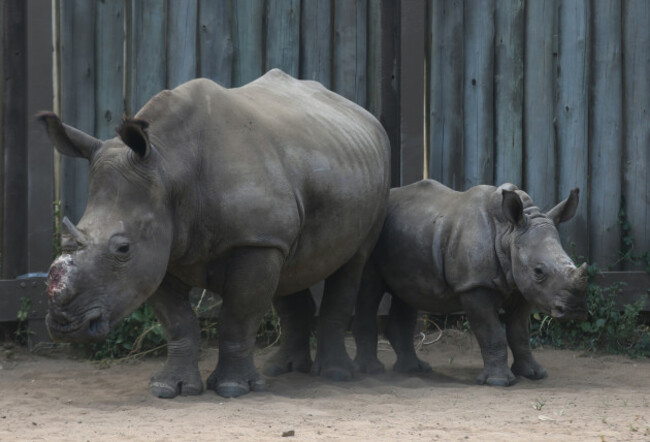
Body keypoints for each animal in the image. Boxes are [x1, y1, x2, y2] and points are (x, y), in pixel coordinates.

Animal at [39, 70, 390, 400]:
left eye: (123, 248)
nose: (64, 326)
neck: (169, 165)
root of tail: (365, 114)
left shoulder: (253, 241)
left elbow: (237, 318)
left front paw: (233, 389)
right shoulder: (160, 252)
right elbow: (178, 322)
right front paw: (169, 389)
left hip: (370, 181)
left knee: (353, 263)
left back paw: (336, 375)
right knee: (293, 268)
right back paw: (281, 369)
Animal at [354, 178, 588, 386]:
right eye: (539, 271)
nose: (575, 309)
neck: (507, 233)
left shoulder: (521, 286)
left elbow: (520, 333)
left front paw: (534, 374)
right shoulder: (474, 285)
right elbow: (492, 332)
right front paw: (499, 382)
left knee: (408, 294)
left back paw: (414, 370)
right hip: (373, 234)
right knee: (369, 290)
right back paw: (372, 371)